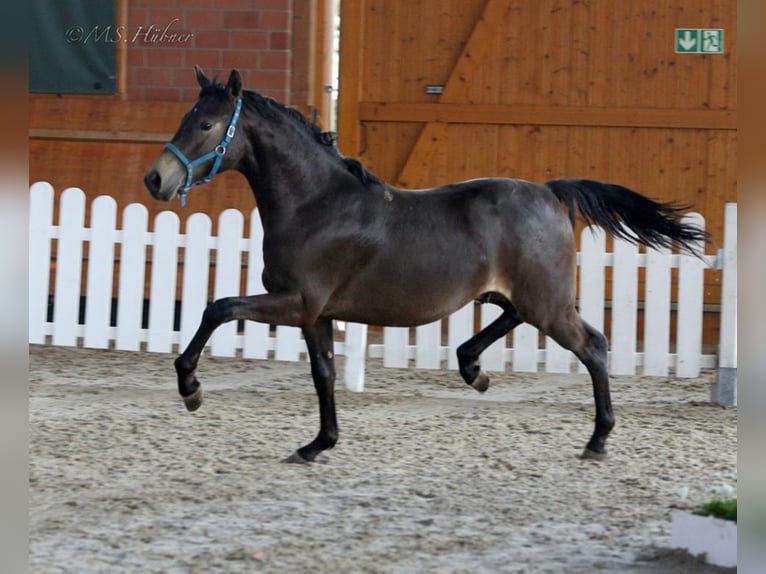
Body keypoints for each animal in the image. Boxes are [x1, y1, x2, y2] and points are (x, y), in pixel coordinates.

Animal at [145, 67, 709, 463]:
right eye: (184, 119)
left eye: (207, 124)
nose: (156, 179)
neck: (317, 204)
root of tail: (550, 192)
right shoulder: (315, 315)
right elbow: (323, 374)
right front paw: (318, 444)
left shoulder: (294, 303)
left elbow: (218, 309)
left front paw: (190, 389)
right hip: (519, 296)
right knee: (513, 323)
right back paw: (474, 370)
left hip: (547, 305)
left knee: (594, 345)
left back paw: (597, 440)